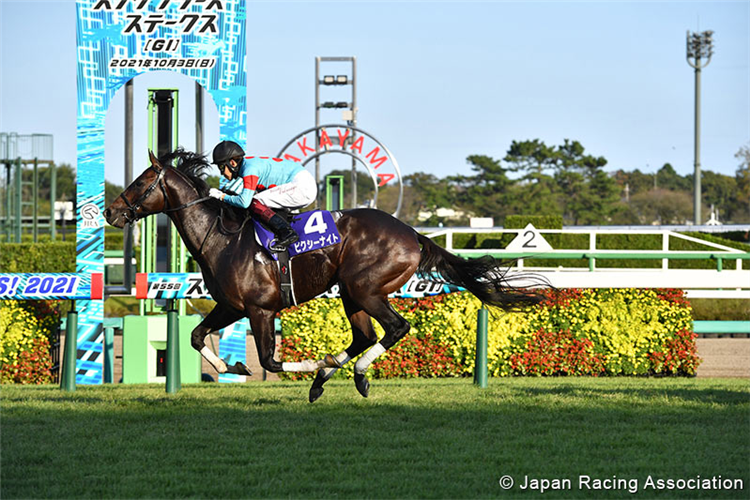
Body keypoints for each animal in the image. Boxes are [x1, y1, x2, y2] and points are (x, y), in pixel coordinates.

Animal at [104, 149, 548, 402]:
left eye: (142, 181)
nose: (111, 211)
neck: (222, 237)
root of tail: (413, 234)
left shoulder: (260, 310)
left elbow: (272, 360)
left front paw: (308, 364)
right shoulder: (231, 305)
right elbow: (197, 337)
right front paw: (236, 368)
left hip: (365, 288)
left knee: (395, 329)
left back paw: (345, 372)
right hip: (352, 294)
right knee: (364, 337)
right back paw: (339, 376)